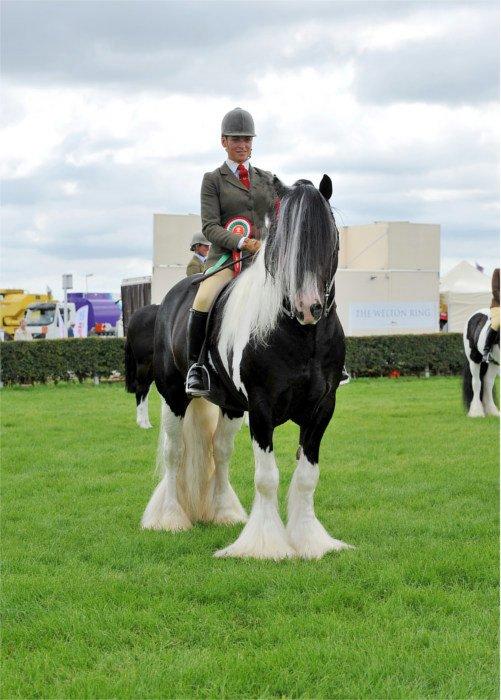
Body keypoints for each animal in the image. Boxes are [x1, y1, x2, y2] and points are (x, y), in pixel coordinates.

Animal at [141, 175, 352, 560]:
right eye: (281, 242)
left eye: (330, 237)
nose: (308, 307)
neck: (302, 335)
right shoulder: (262, 408)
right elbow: (267, 478)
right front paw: (265, 546)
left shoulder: (321, 408)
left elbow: (306, 477)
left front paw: (310, 541)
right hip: (175, 397)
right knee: (175, 454)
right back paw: (170, 518)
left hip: (231, 407)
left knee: (220, 452)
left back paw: (224, 513)